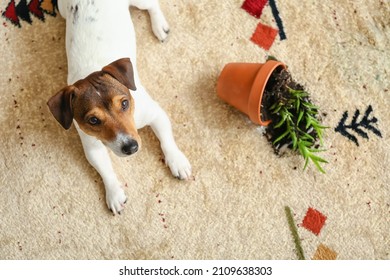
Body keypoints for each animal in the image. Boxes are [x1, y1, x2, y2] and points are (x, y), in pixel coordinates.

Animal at [47, 0, 192, 214]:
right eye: (93, 120)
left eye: (124, 103)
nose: (131, 147)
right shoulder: (92, 147)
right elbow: (105, 171)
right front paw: (114, 193)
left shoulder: (155, 114)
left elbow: (166, 141)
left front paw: (176, 161)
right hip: (63, 11)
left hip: (139, 2)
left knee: (152, 5)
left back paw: (159, 26)